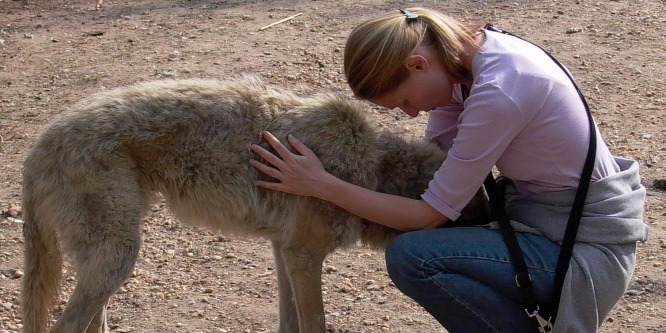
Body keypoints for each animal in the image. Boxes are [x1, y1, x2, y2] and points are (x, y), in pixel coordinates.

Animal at [20, 76, 488, 332]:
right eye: (479, 212)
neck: (369, 167)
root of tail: (39, 144)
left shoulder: (284, 252)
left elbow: (290, 323)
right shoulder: (302, 255)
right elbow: (315, 324)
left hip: (105, 267)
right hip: (116, 258)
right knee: (65, 326)